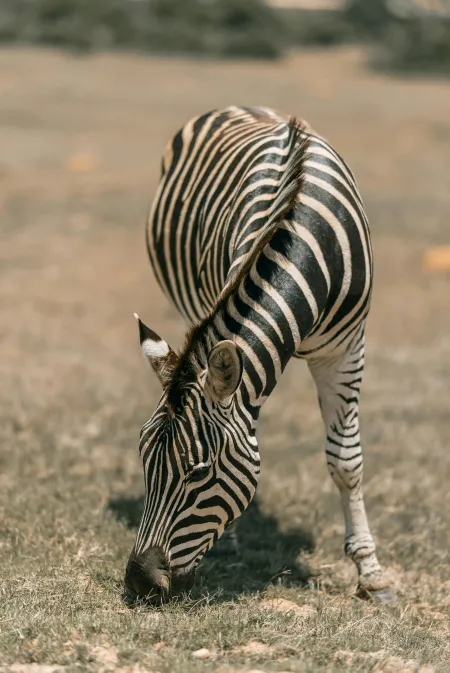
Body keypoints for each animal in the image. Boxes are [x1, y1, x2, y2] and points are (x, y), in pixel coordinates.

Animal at [124, 106, 395, 603]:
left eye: (199, 473)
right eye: (143, 460)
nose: (140, 582)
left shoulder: (346, 350)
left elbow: (346, 462)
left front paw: (371, 572)